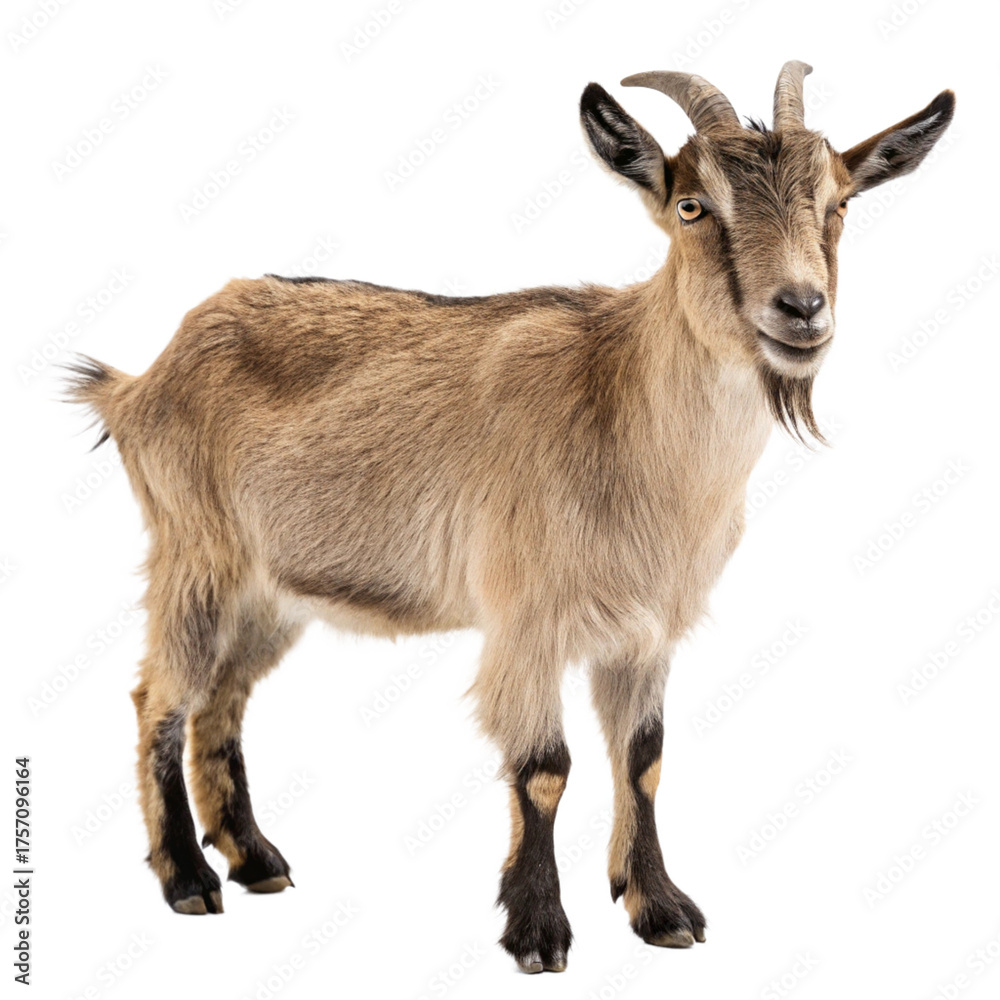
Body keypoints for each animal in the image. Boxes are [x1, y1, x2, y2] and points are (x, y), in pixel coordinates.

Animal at [67, 61, 954, 973]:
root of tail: (139, 383)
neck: (622, 409)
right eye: (691, 205)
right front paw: (538, 931)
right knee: (160, 698)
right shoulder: (527, 616)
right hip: (196, 556)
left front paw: (659, 908)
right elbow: (543, 768)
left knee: (224, 700)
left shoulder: (644, 632)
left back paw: (255, 859)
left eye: (839, 203)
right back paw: (187, 878)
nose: (801, 307)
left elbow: (643, 760)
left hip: (274, 590)